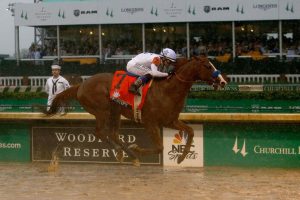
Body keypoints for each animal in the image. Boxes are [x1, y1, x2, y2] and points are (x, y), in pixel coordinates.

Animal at [44, 55, 226, 165]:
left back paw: (127, 154)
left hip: (115, 112)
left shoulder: (170, 120)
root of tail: (81, 85)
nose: (223, 81)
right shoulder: (150, 122)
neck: (168, 90)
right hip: (102, 111)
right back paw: (126, 153)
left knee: (113, 134)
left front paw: (182, 156)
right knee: (101, 132)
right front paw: (137, 148)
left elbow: (191, 131)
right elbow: (159, 147)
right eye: (208, 66)